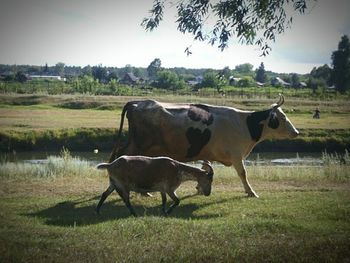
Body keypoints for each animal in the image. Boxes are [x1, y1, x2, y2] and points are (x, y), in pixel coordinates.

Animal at [108, 95, 298, 198]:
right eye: (282, 118)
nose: (296, 132)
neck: (244, 124)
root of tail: (137, 102)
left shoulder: (209, 152)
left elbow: (205, 166)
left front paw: (199, 188)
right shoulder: (236, 154)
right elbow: (243, 173)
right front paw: (251, 192)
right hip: (138, 146)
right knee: (121, 157)